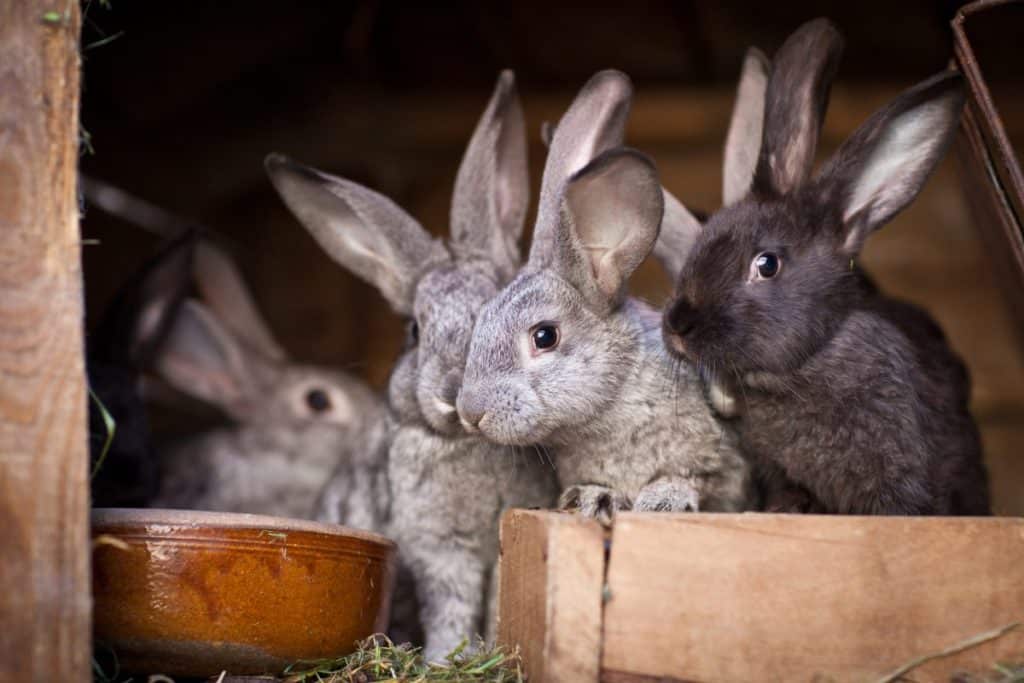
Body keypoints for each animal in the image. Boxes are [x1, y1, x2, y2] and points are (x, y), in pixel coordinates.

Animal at [260, 70, 557, 663]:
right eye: (414, 332)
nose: (452, 395)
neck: (466, 444)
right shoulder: (441, 551)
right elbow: (451, 606)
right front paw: (449, 658)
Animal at [456, 69, 753, 520]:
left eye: (545, 336)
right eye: (482, 318)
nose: (471, 413)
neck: (612, 402)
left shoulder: (722, 464)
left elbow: (694, 478)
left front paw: (663, 499)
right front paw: (591, 498)